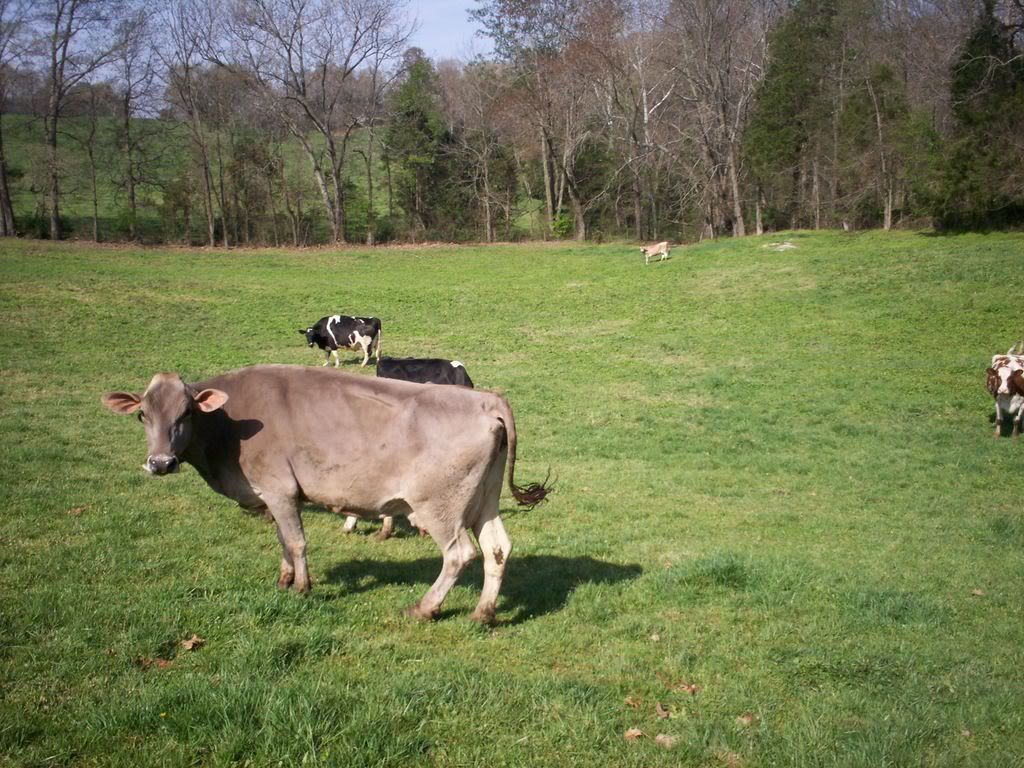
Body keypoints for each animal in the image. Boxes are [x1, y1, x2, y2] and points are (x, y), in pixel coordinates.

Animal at [101, 365, 551, 624]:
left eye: (187, 412)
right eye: (142, 414)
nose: (160, 462)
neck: (229, 424)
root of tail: (485, 399)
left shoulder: (279, 489)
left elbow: (297, 541)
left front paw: (302, 588)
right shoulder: (272, 496)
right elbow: (283, 541)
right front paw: (284, 580)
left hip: (439, 507)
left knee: (460, 554)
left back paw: (424, 608)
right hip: (483, 500)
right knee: (497, 549)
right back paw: (483, 614)